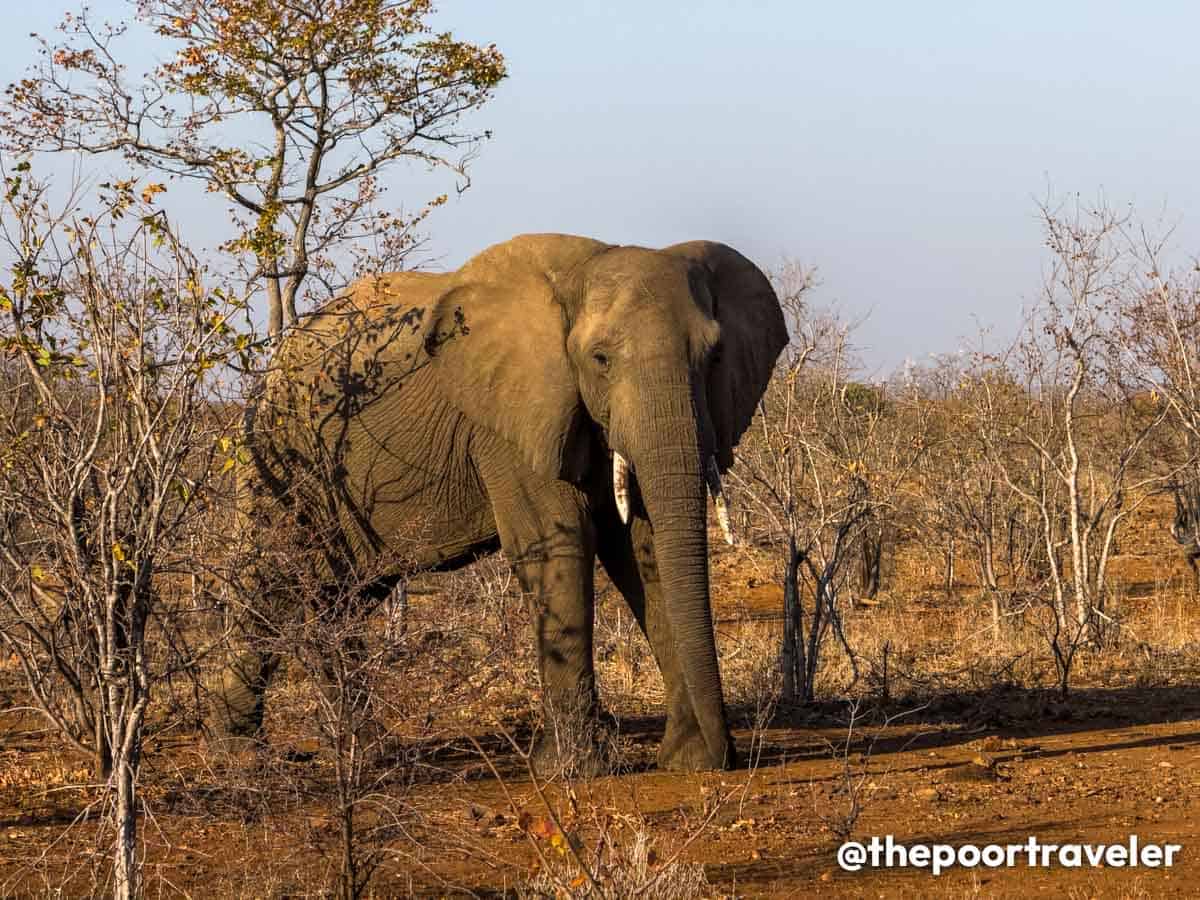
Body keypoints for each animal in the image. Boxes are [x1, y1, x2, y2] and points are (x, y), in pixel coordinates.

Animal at [206, 232, 787, 777]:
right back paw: (247, 754)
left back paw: (363, 752)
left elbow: (639, 548)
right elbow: (558, 541)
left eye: (714, 357)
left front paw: (687, 761)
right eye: (600, 360)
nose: (726, 754)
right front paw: (574, 771)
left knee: (341, 598)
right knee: (277, 586)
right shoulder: (510, 417)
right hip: (283, 455)